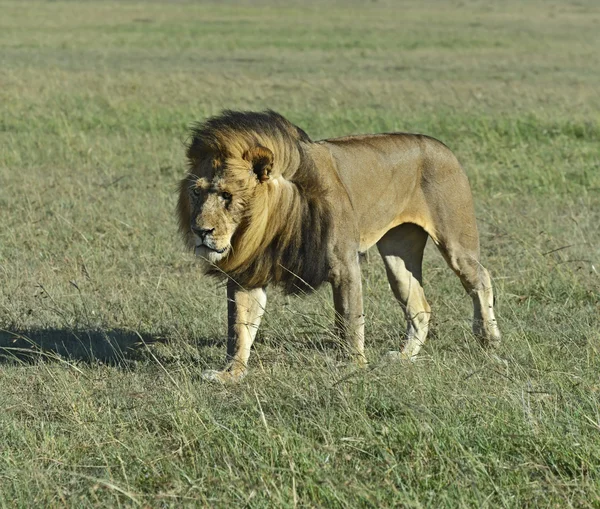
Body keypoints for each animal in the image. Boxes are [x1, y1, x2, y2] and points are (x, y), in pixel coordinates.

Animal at [178, 110, 502, 380]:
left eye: (227, 196)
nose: (200, 231)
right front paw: (230, 374)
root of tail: (440, 145)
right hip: (398, 254)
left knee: (481, 278)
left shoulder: (344, 266)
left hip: (455, 240)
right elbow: (239, 327)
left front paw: (352, 367)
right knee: (420, 307)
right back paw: (403, 357)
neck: (272, 222)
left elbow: (348, 320)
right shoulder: (248, 271)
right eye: (196, 192)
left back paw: (490, 341)